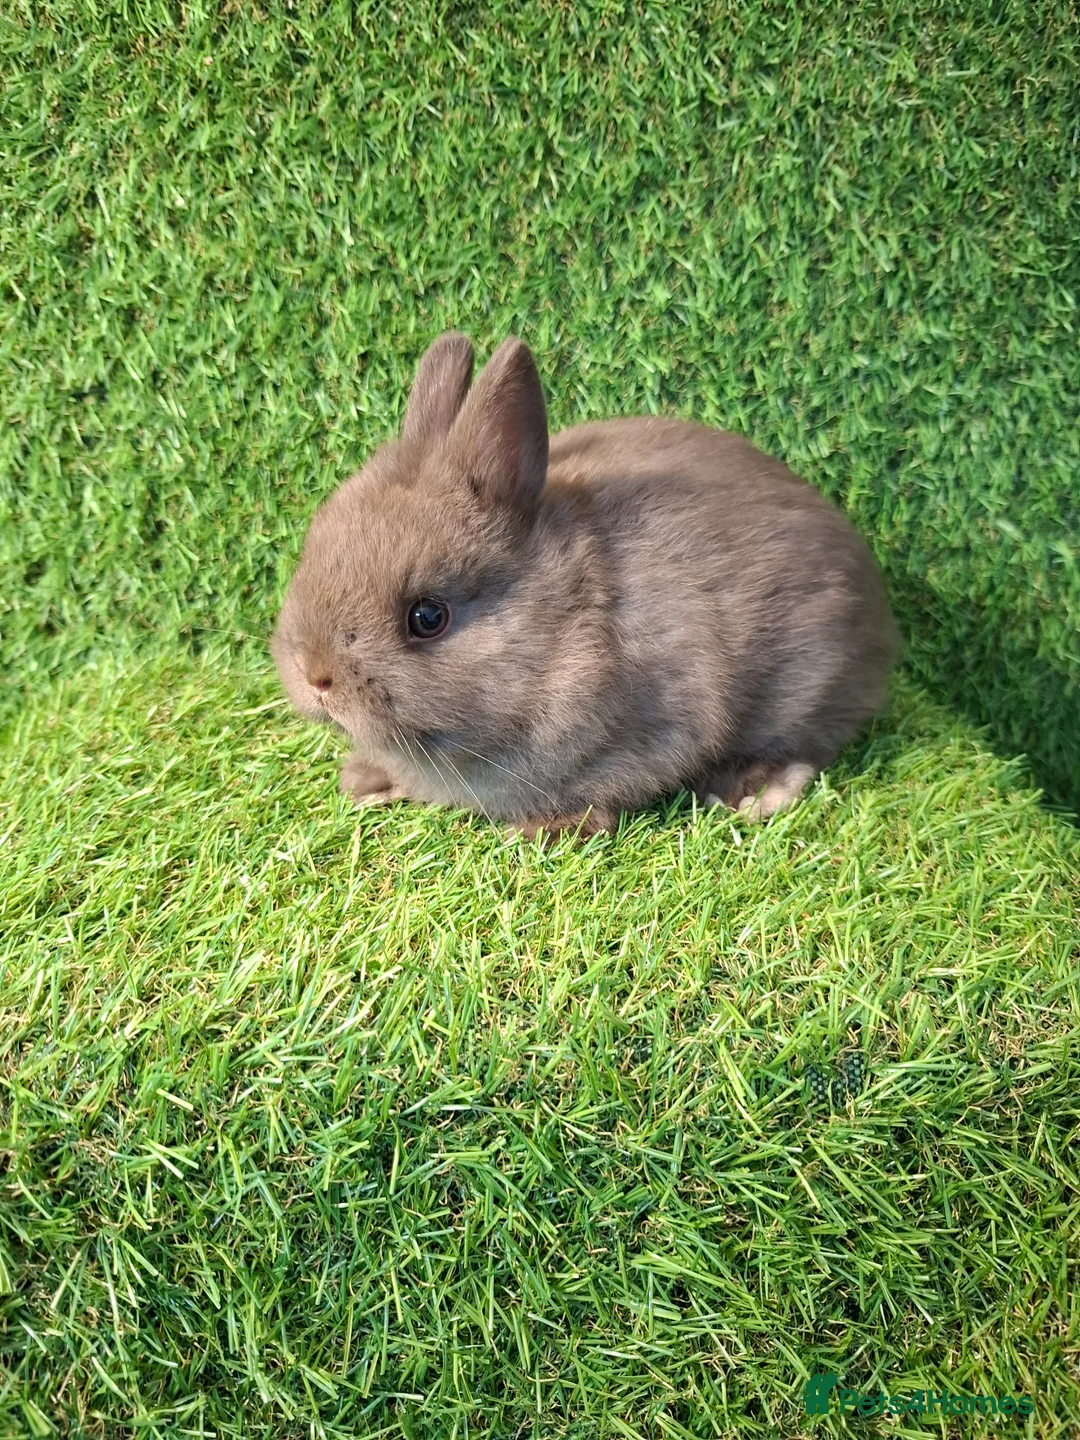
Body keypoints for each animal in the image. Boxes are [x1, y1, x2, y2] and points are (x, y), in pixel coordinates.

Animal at [271, 331, 898, 838]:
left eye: (428, 617)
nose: (315, 676)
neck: (562, 627)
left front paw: (544, 829)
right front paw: (366, 780)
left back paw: (754, 789)